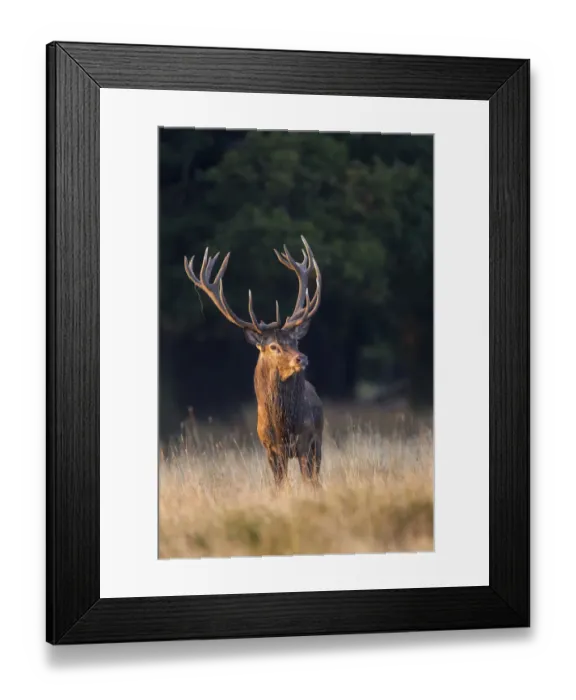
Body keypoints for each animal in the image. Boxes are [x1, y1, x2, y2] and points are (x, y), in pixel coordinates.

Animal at [184, 236, 323, 488]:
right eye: (273, 346)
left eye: (295, 341)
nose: (302, 358)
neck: (282, 426)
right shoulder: (269, 448)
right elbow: (279, 486)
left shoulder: (305, 441)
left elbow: (307, 481)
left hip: (318, 440)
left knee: (316, 477)